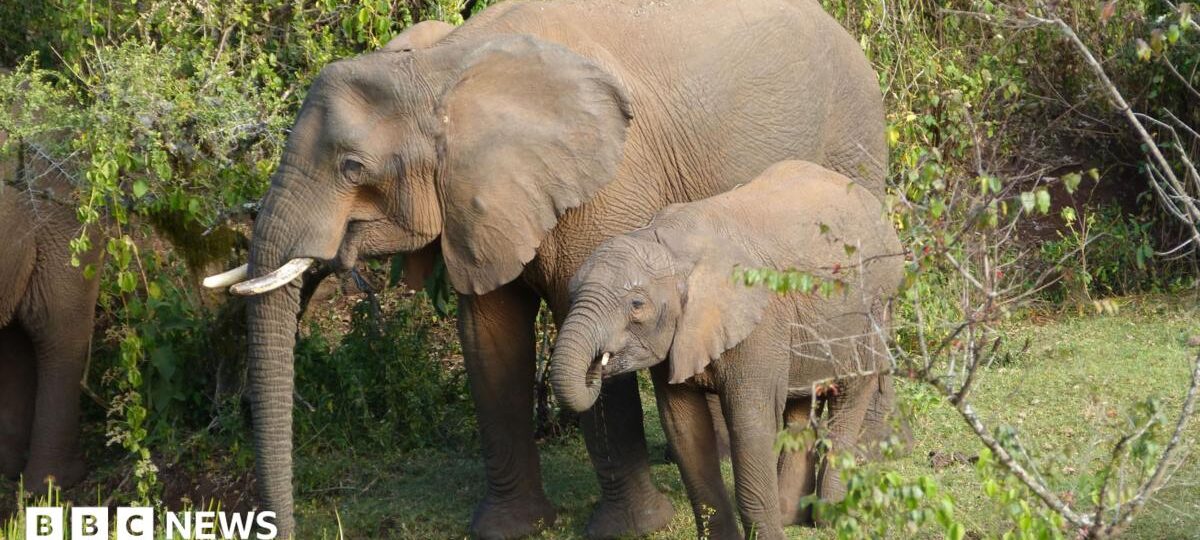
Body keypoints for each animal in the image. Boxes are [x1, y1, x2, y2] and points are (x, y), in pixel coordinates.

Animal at [549, 161, 905, 539]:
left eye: (636, 304)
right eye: (571, 294)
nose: (596, 367)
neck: (671, 244)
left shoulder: (760, 325)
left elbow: (751, 424)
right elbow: (684, 427)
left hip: (874, 306)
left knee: (850, 396)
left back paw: (830, 518)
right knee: (799, 406)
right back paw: (791, 515)